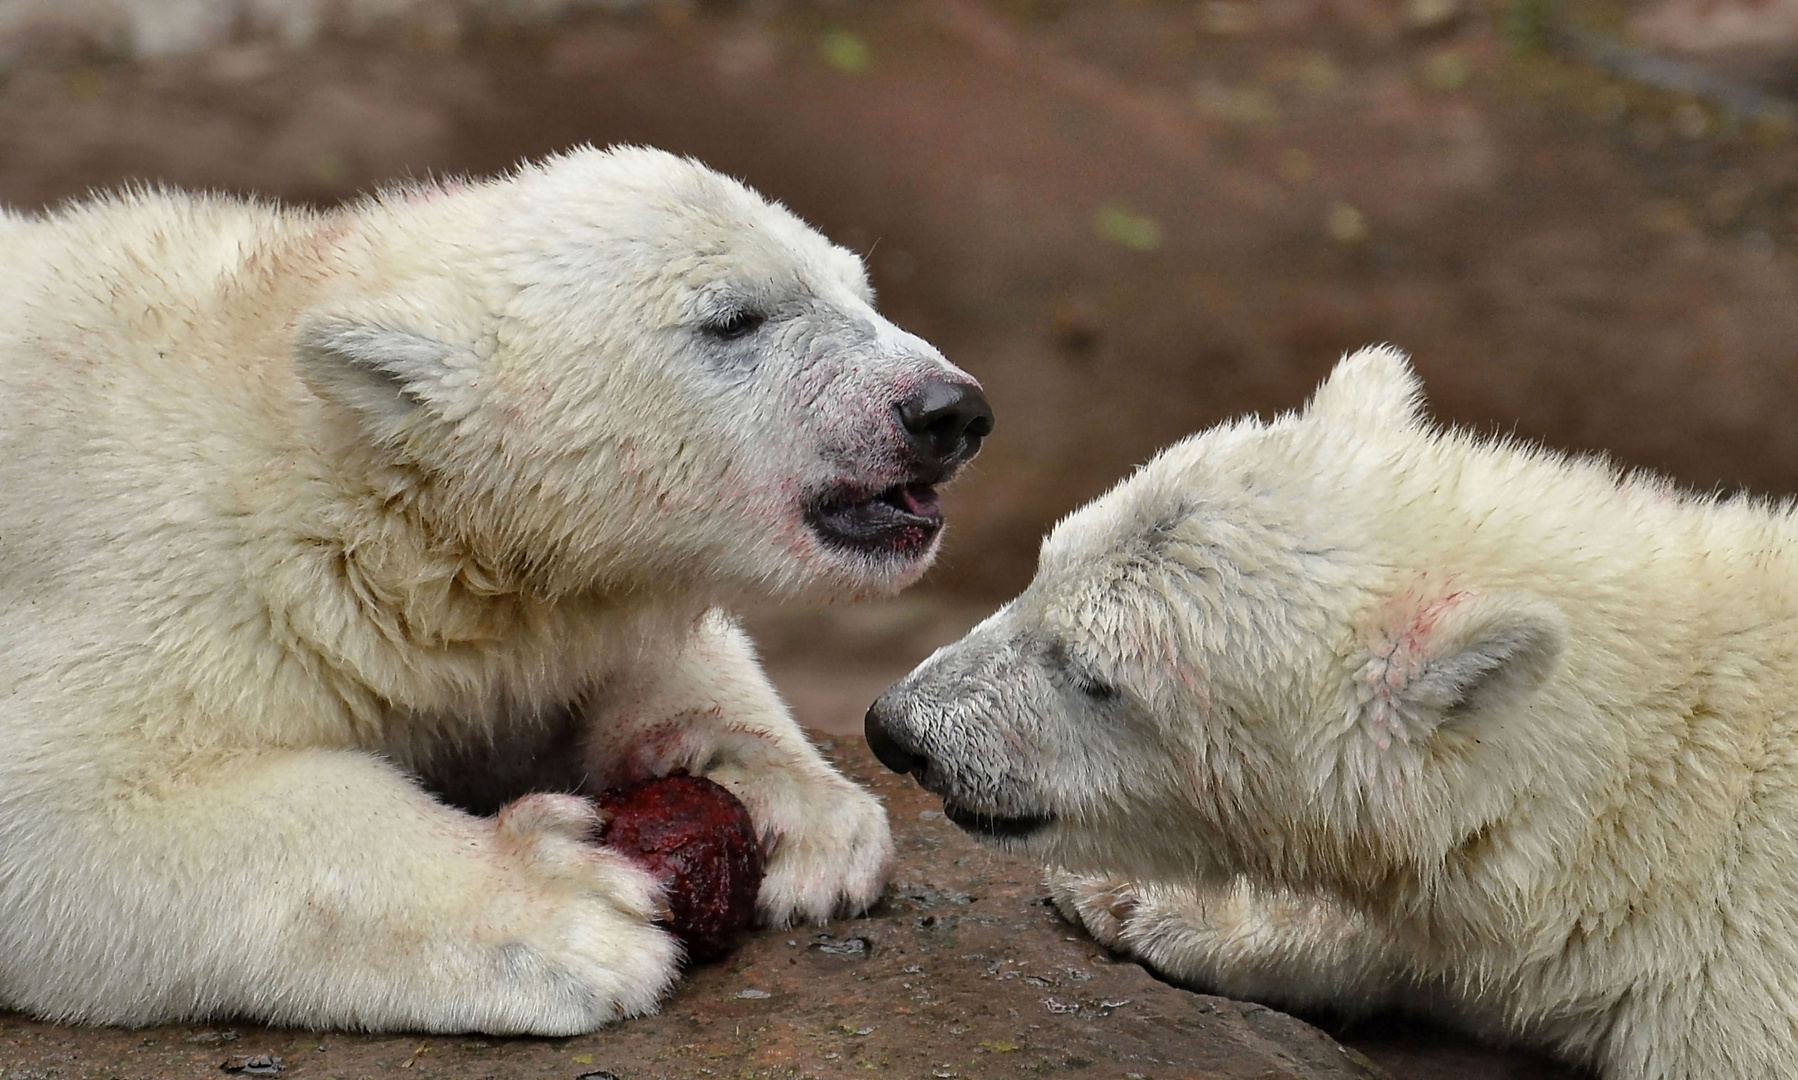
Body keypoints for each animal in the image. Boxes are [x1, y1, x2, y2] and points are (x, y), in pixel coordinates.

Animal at [0, 147, 999, 1035]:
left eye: (857, 288)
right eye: (734, 317)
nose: (946, 410)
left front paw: (799, 807)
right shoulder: (167, 564)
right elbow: (73, 803)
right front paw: (565, 910)